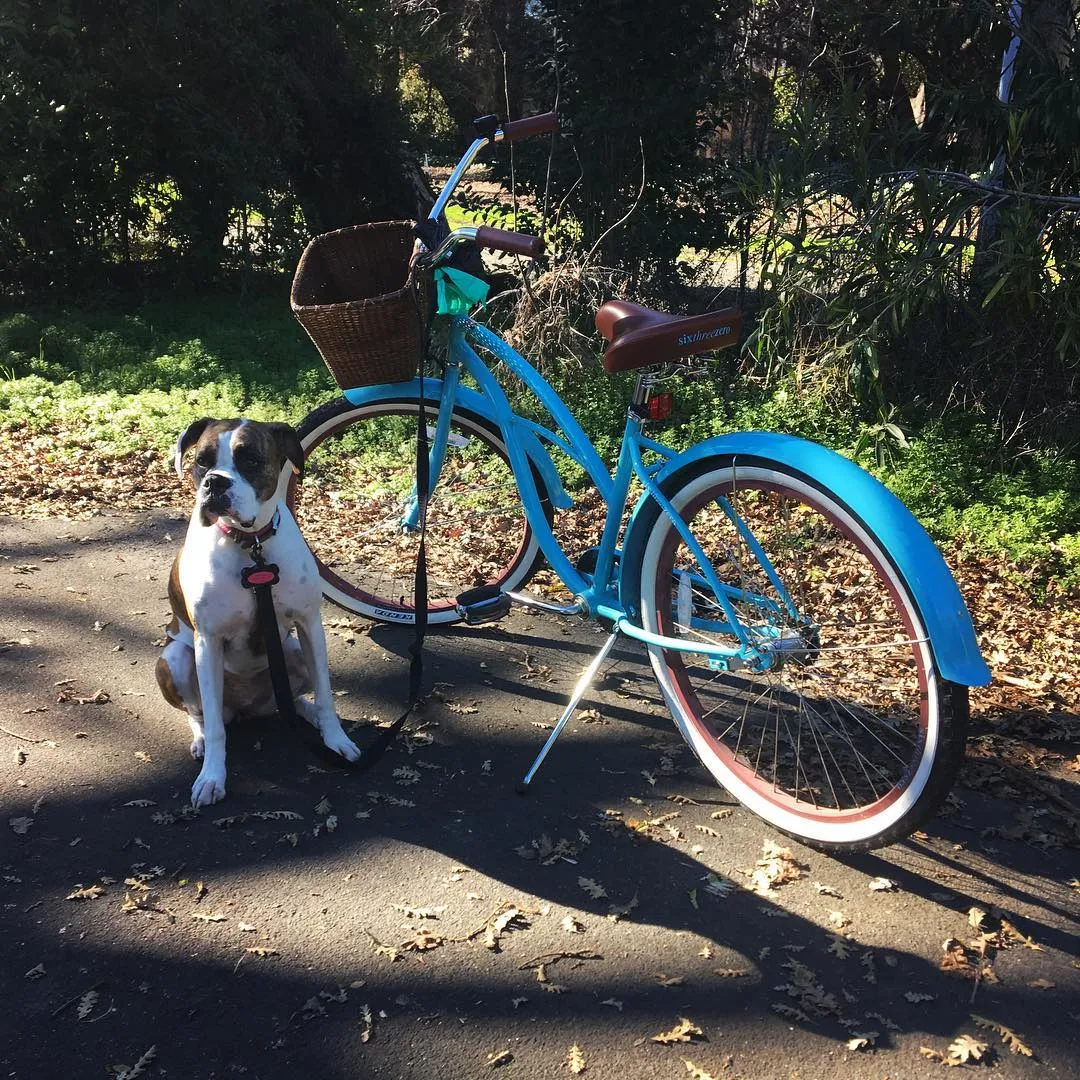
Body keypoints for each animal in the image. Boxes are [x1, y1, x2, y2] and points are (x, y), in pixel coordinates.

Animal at [157, 416, 362, 807]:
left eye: (250, 460)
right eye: (202, 461)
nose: (215, 482)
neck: (250, 546)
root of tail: (248, 706)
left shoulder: (309, 625)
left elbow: (326, 694)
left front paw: (336, 739)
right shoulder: (208, 640)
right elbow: (216, 729)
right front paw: (213, 777)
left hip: (293, 652)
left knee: (294, 700)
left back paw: (308, 716)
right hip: (175, 658)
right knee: (202, 714)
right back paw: (201, 739)